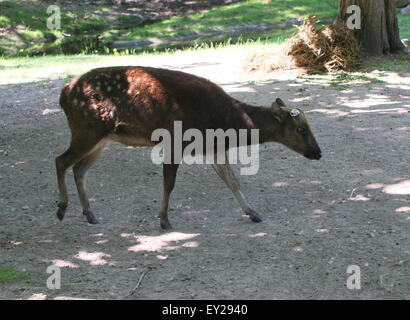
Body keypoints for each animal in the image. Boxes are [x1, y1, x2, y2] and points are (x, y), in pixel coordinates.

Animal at [56, 65, 322, 230]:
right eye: (301, 129)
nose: (318, 152)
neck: (225, 123)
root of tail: (63, 95)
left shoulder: (213, 148)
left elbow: (232, 180)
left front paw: (253, 213)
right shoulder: (176, 140)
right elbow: (169, 183)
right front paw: (164, 220)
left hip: (101, 139)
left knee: (78, 168)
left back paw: (89, 214)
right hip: (86, 131)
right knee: (61, 160)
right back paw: (61, 208)